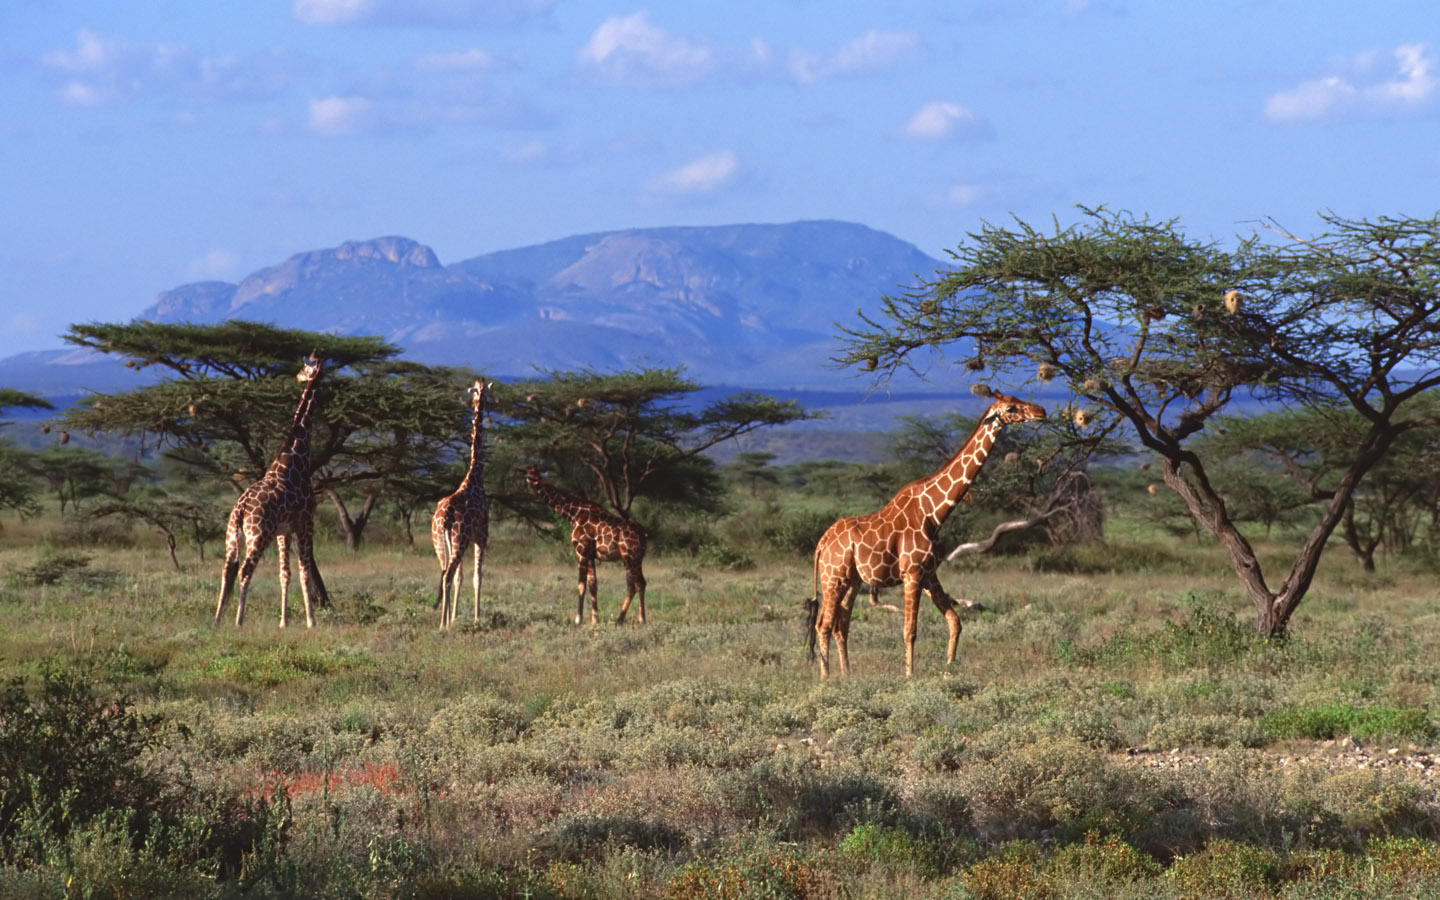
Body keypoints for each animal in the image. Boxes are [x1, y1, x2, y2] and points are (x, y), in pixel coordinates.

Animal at [213, 351, 329, 624]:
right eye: (307, 366)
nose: (298, 376)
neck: (294, 456)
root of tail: (241, 507)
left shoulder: (283, 531)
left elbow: (285, 574)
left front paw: (284, 622)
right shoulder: (306, 523)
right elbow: (304, 571)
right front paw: (311, 622)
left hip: (232, 535)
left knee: (227, 569)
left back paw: (217, 620)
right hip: (258, 534)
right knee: (245, 570)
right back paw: (238, 620)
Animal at [429, 377, 492, 624]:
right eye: (481, 393)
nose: (482, 400)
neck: (475, 475)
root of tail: (444, 516)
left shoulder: (468, 540)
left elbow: (461, 577)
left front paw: (454, 617)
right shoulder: (481, 536)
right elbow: (477, 577)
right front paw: (476, 618)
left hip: (440, 543)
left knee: (445, 573)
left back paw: (444, 621)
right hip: (459, 539)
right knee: (447, 574)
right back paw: (441, 625)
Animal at [524, 463, 648, 624]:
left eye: (533, 474)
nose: (533, 481)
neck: (573, 514)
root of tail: (644, 534)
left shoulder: (581, 550)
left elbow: (581, 585)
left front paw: (579, 619)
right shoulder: (591, 554)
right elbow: (593, 585)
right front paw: (594, 620)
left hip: (631, 556)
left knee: (639, 583)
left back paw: (642, 620)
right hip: (631, 558)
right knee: (632, 585)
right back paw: (619, 621)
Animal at [806, 388, 1042, 676]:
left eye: (1018, 399)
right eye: (1010, 408)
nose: (1041, 411)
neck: (934, 513)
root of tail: (822, 542)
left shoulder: (929, 573)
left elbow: (955, 621)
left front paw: (948, 670)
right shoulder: (913, 573)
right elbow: (910, 630)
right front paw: (909, 676)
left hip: (853, 581)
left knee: (842, 624)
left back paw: (848, 675)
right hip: (833, 577)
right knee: (823, 625)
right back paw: (826, 680)